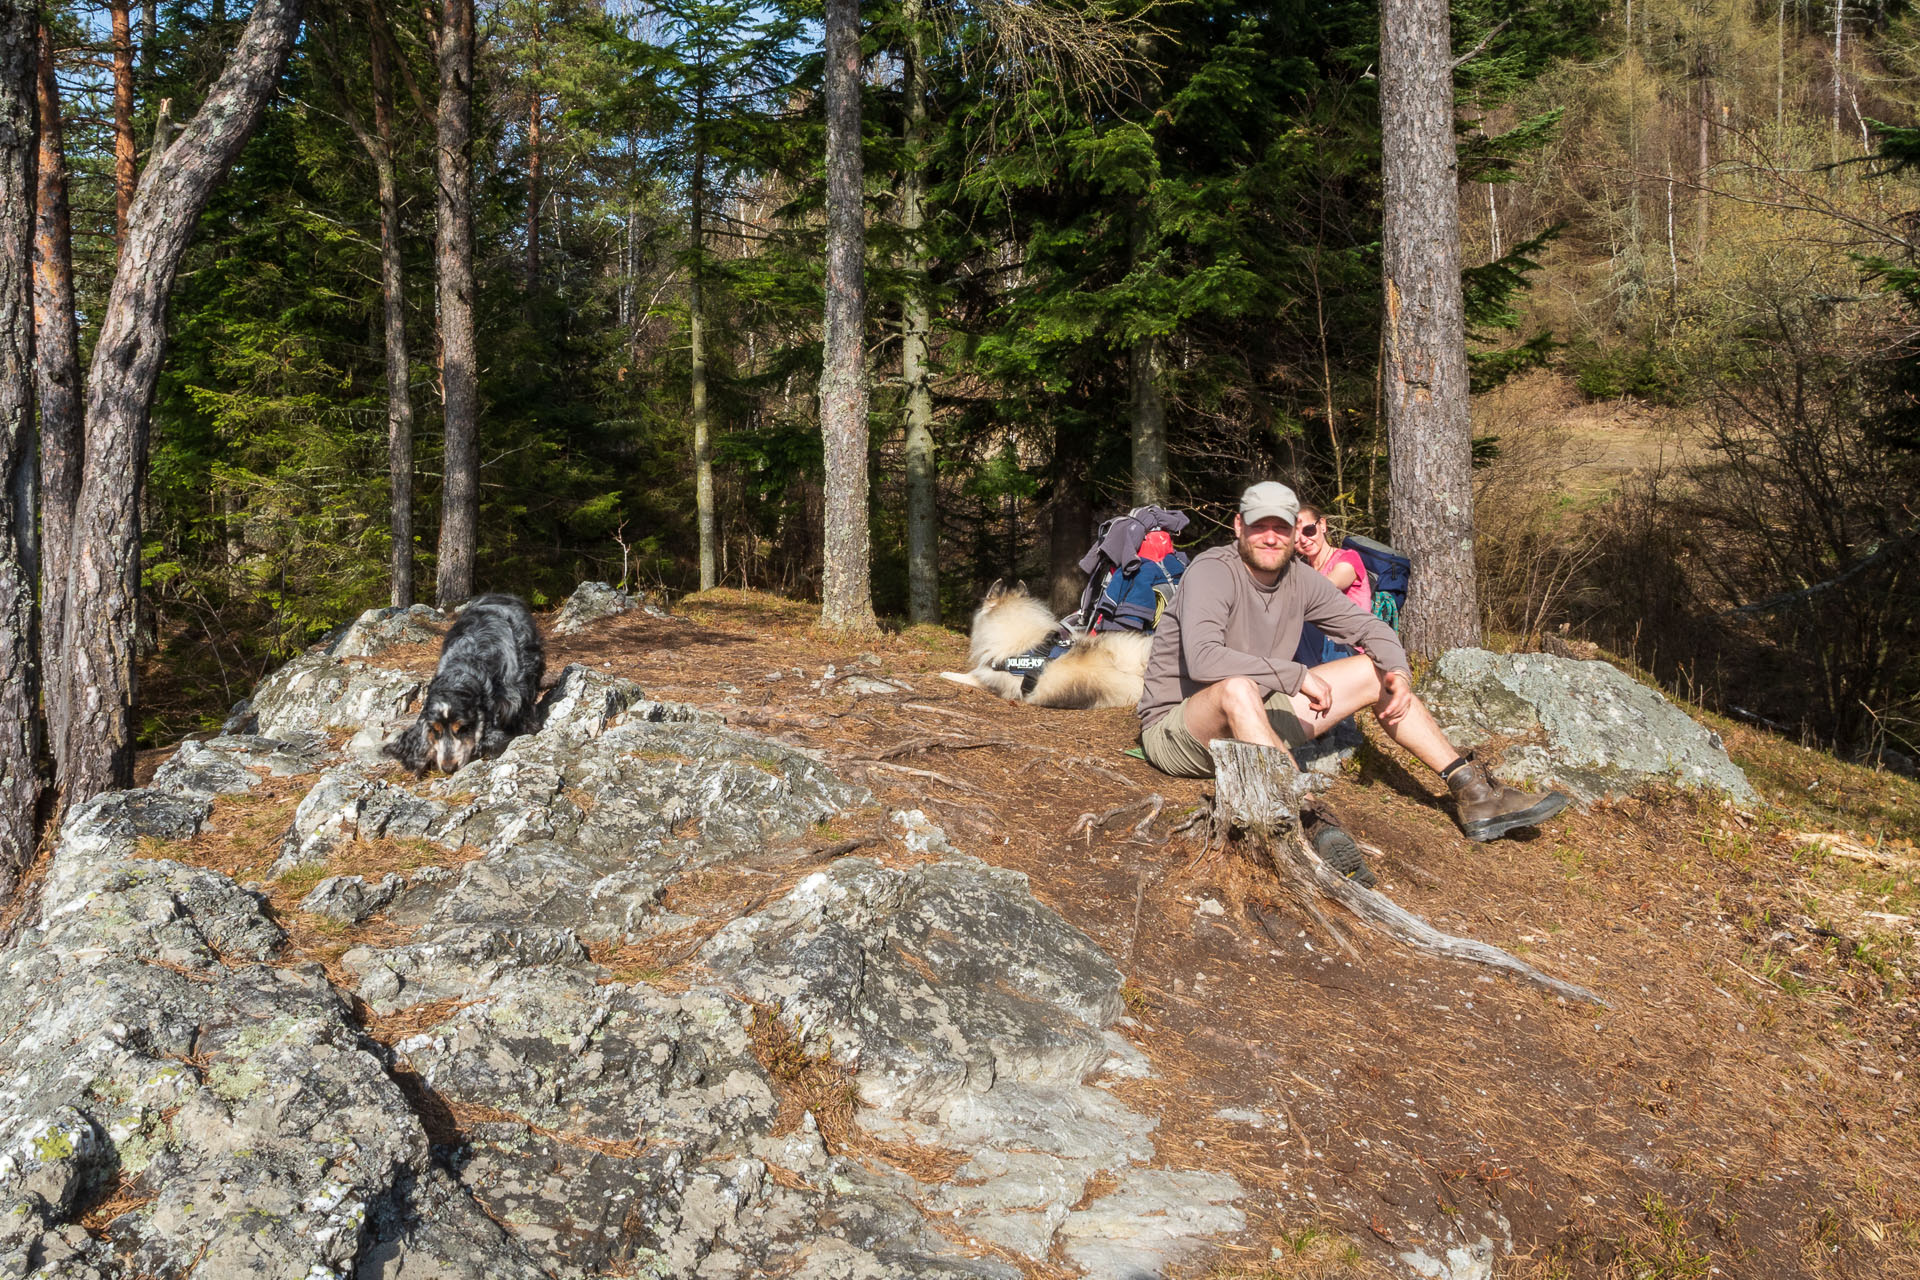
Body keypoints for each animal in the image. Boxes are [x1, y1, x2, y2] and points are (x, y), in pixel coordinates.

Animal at [382, 594, 545, 775]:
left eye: (463, 729)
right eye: (436, 731)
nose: (448, 768)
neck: (465, 668)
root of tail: (499, 595)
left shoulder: (514, 696)